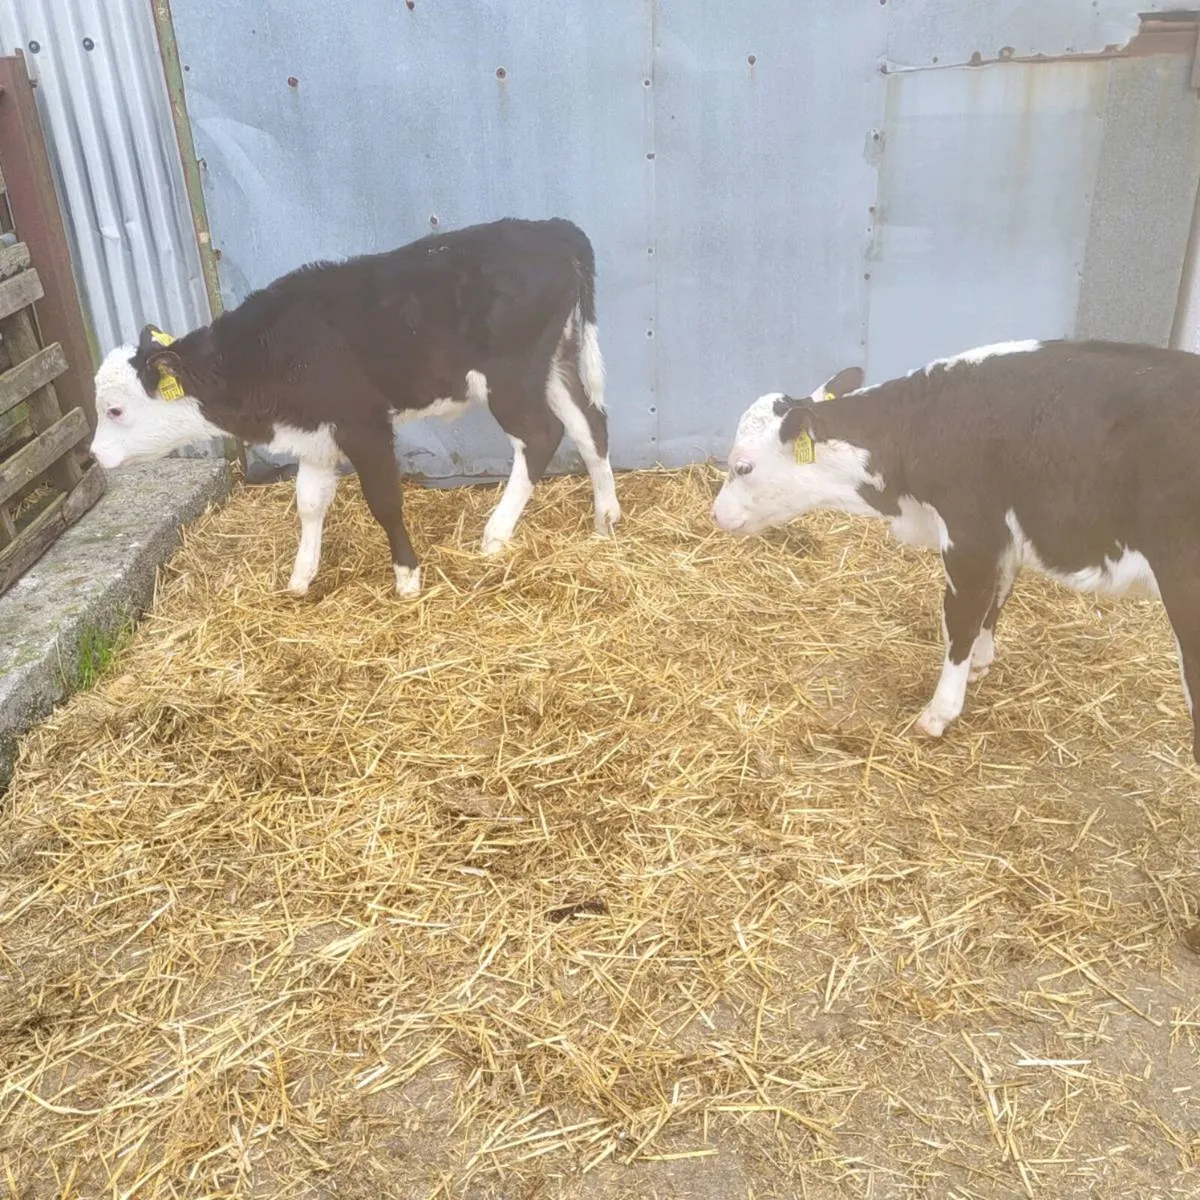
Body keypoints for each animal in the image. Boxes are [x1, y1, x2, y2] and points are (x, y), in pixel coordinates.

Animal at [90, 218, 621, 597]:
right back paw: (606, 519)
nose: (93, 455)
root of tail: (551, 228)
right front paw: (301, 577)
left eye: (114, 410)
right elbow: (308, 502)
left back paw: (496, 535)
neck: (270, 350)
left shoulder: (363, 424)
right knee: (590, 424)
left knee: (541, 436)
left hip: (511, 377)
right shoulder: (314, 434)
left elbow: (383, 500)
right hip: (554, 363)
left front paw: (407, 577)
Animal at [711, 340, 1200, 763]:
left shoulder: (969, 535)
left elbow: (959, 620)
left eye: (743, 467)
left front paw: (939, 713)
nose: (715, 513)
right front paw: (981, 663)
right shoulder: (1002, 539)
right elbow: (995, 601)